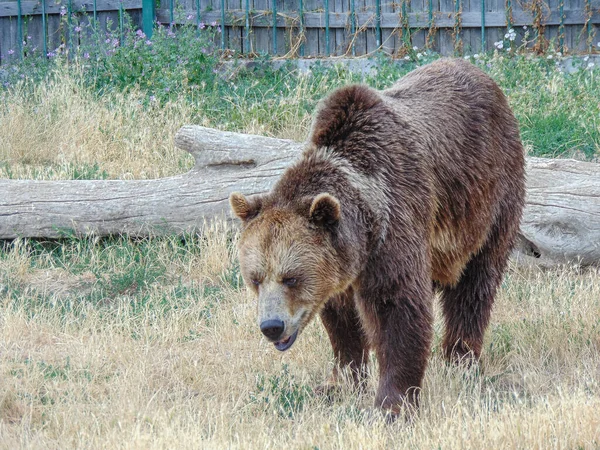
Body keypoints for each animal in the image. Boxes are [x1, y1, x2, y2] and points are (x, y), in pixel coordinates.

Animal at [230, 59, 524, 414]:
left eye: (291, 278)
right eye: (255, 278)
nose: (272, 327)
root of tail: (483, 76)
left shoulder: (395, 220)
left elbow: (395, 308)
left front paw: (392, 404)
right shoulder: (339, 265)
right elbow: (343, 320)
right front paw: (339, 382)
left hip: (491, 196)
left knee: (475, 284)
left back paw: (462, 359)